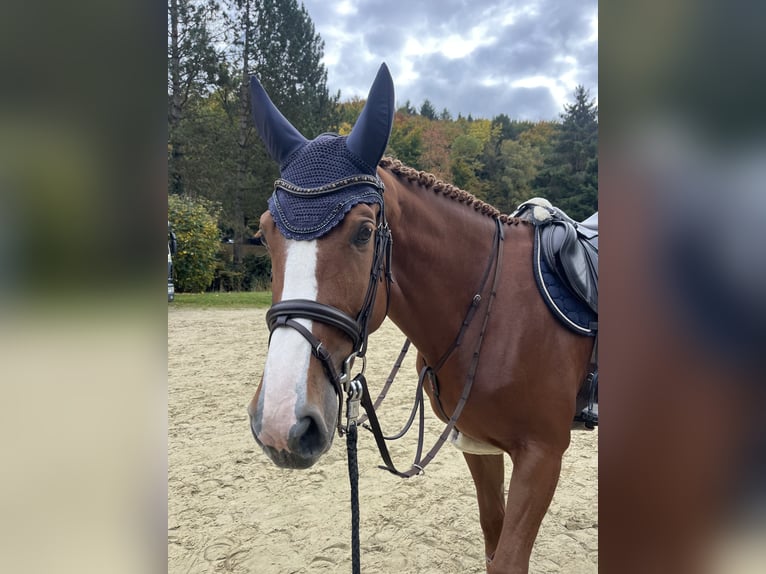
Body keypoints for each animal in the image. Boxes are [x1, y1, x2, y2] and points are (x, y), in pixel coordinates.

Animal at [246, 63, 597, 573]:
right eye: (264, 232)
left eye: (364, 233)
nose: (279, 421)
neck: (496, 309)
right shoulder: (480, 446)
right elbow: (492, 540)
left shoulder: (543, 456)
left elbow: (508, 558)